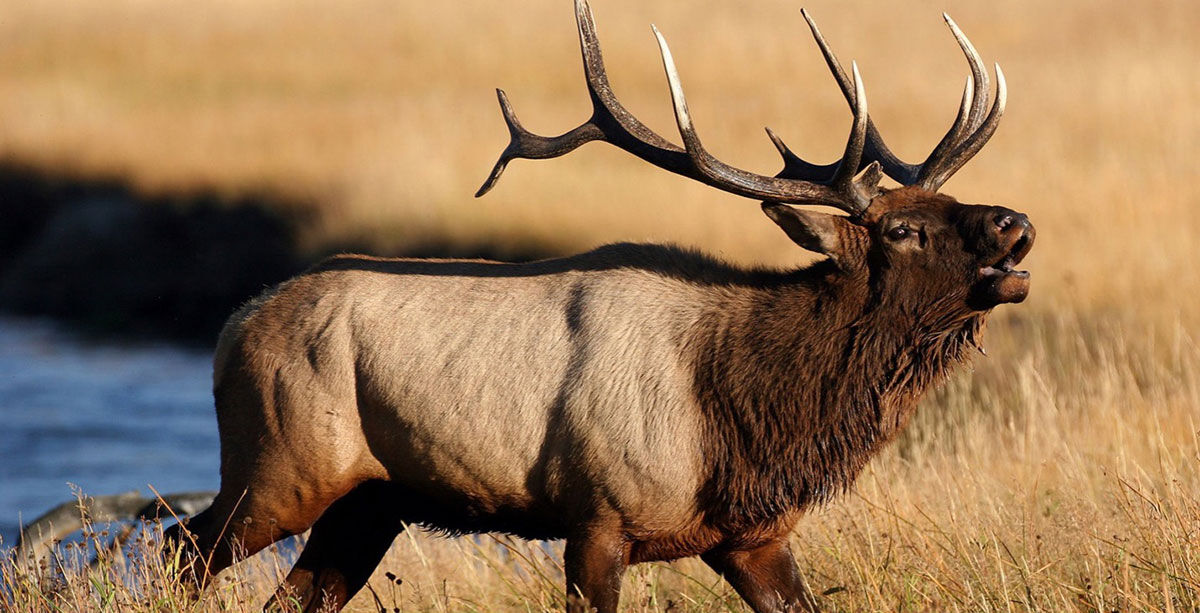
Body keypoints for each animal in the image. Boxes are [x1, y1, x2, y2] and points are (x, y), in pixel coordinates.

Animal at [164, 1, 1034, 612]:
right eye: (904, 229)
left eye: (948, 201)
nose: (1015, 222)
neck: (746, 420)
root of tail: (232, 327)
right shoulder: (597, 515)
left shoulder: (752, 537)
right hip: (279, 465)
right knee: (178, 545)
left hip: (367, 501)